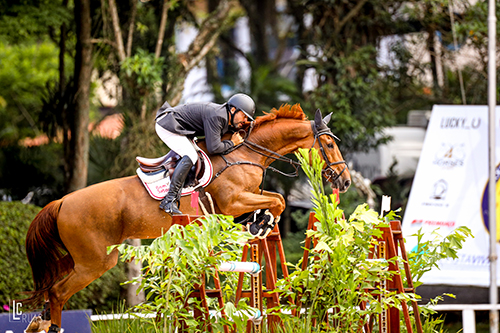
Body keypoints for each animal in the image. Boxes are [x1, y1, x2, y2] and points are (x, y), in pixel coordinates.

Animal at [24, 103, 352, 330]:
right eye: (330, 144)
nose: (346, 181)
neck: (245, 154)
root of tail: (62, 202)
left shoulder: (239, 202)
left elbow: (274, 200)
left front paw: (259, 222)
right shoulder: (232, 202)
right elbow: (279, 200)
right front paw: (263, 223)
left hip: (78, 258)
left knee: (51, 288)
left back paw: (39, 321)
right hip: (96, 261)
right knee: (58, 292)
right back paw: (51, 326)